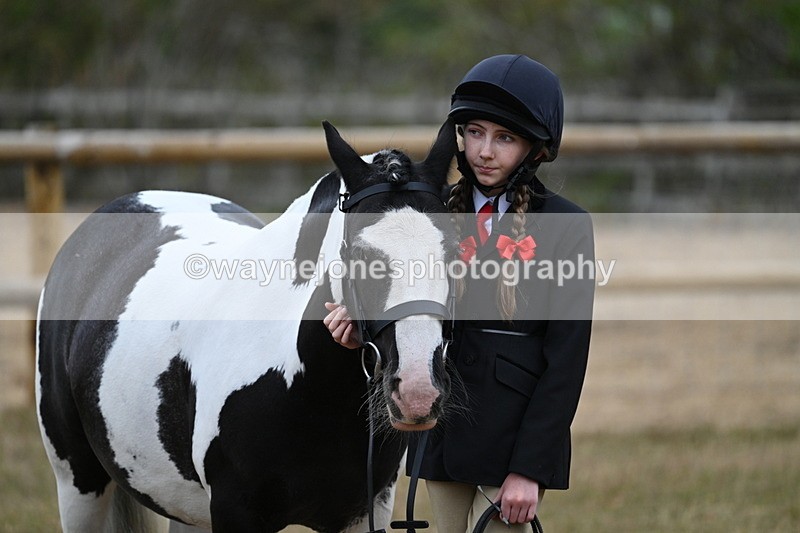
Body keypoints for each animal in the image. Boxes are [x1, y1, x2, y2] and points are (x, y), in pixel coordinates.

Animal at [35, 120, 458, 532]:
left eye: (455, 250)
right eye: (359, 253)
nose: (417, 392)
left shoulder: (365, 510)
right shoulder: (234, 511)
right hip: (78, 483)